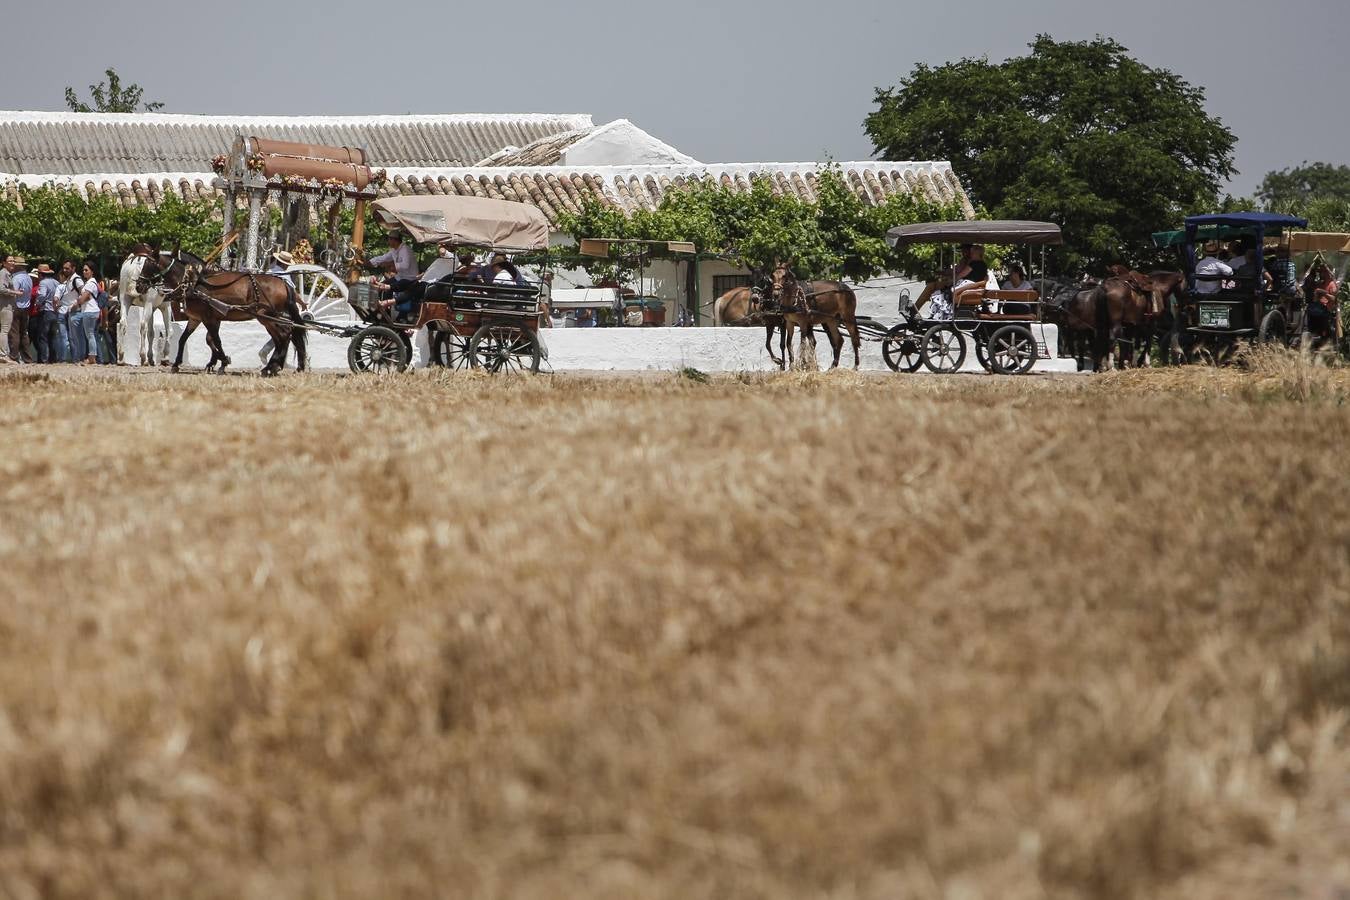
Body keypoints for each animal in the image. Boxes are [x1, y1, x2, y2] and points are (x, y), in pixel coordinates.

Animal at [145, 249, 309, 377]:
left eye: (148, 265)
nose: (140, 285)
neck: (194, 284)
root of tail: (284, 284)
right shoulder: (197, 319)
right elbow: (188, 339)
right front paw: (179, 364)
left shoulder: (208, 318)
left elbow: (215, 340)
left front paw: (222, 361)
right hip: (270, 319)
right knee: (283, 336)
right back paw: (274, 367)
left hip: (268, 317)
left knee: (284, 335)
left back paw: (272, 367)